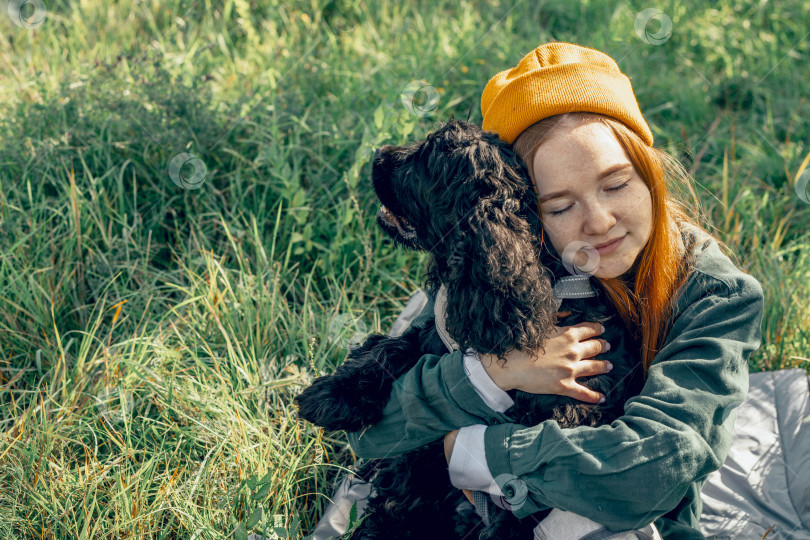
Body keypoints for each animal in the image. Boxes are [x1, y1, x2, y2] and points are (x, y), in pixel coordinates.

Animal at [296, 120, 644, 536]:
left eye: (425, 161)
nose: (379, 154)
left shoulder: (575, 410)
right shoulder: (436, 338)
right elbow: (391, 348)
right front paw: (333, 394)